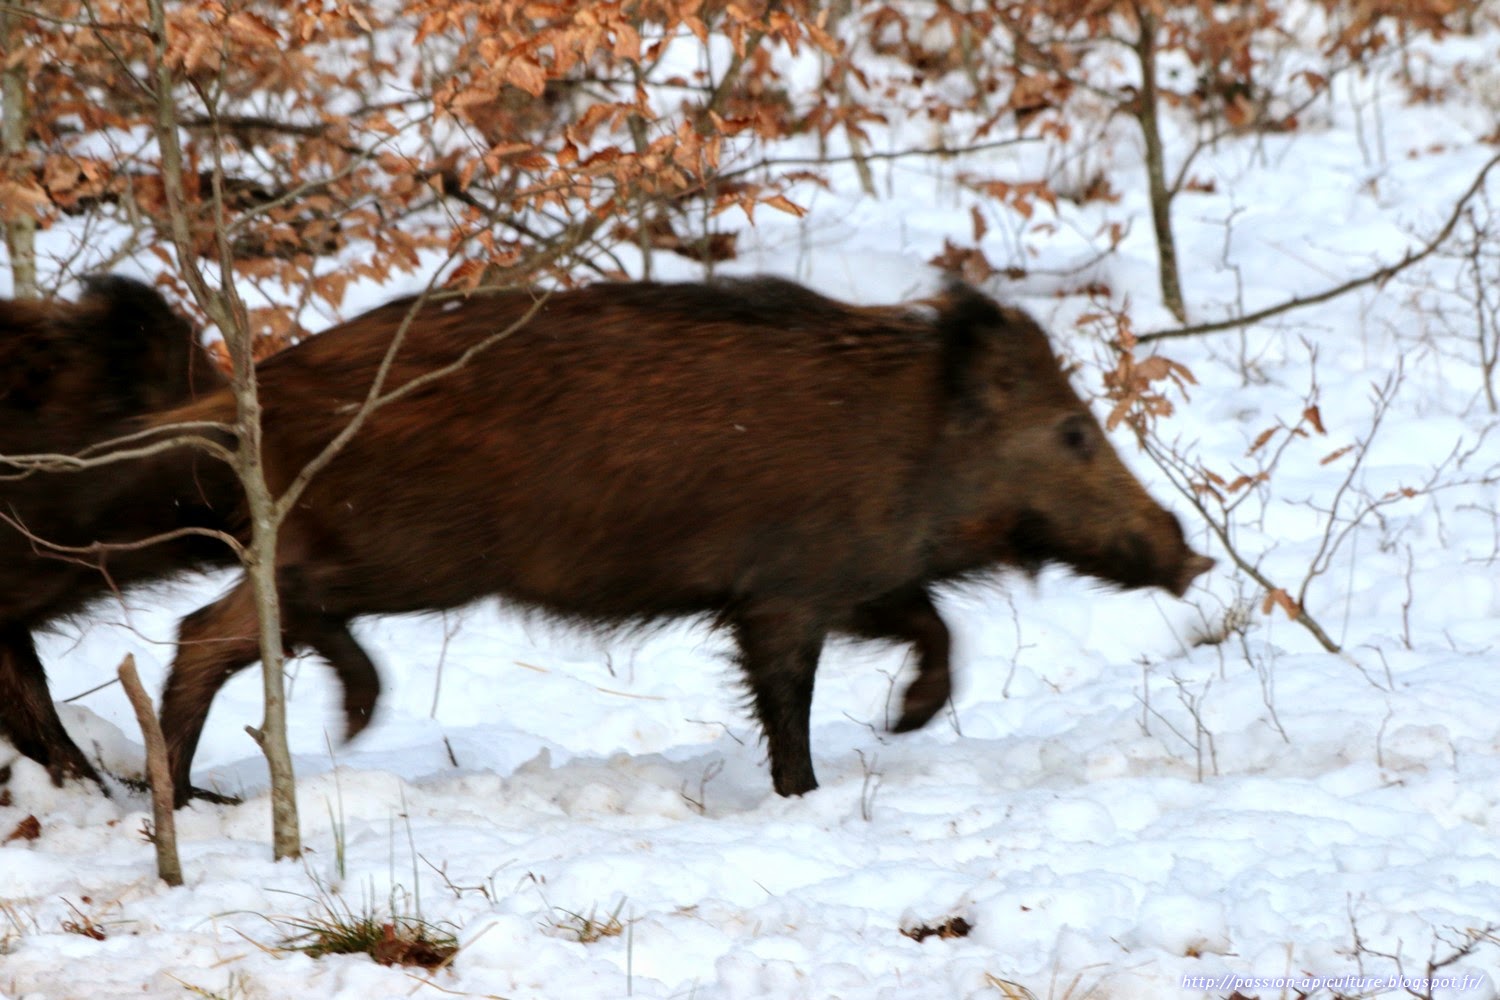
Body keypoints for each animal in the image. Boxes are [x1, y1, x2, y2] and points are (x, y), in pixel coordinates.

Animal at [151, 277, 1212, 804]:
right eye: (1073, 432)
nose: (1191, 555)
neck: (921, 447)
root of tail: (264, 388)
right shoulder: (782, 594)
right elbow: (790, 704)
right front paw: (811, 794)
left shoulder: (858, 581)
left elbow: (936, 630)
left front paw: (905, 723)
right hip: (404, 553)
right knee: (243, 622)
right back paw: (321, 736)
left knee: (217, 628)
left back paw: (196, 790)